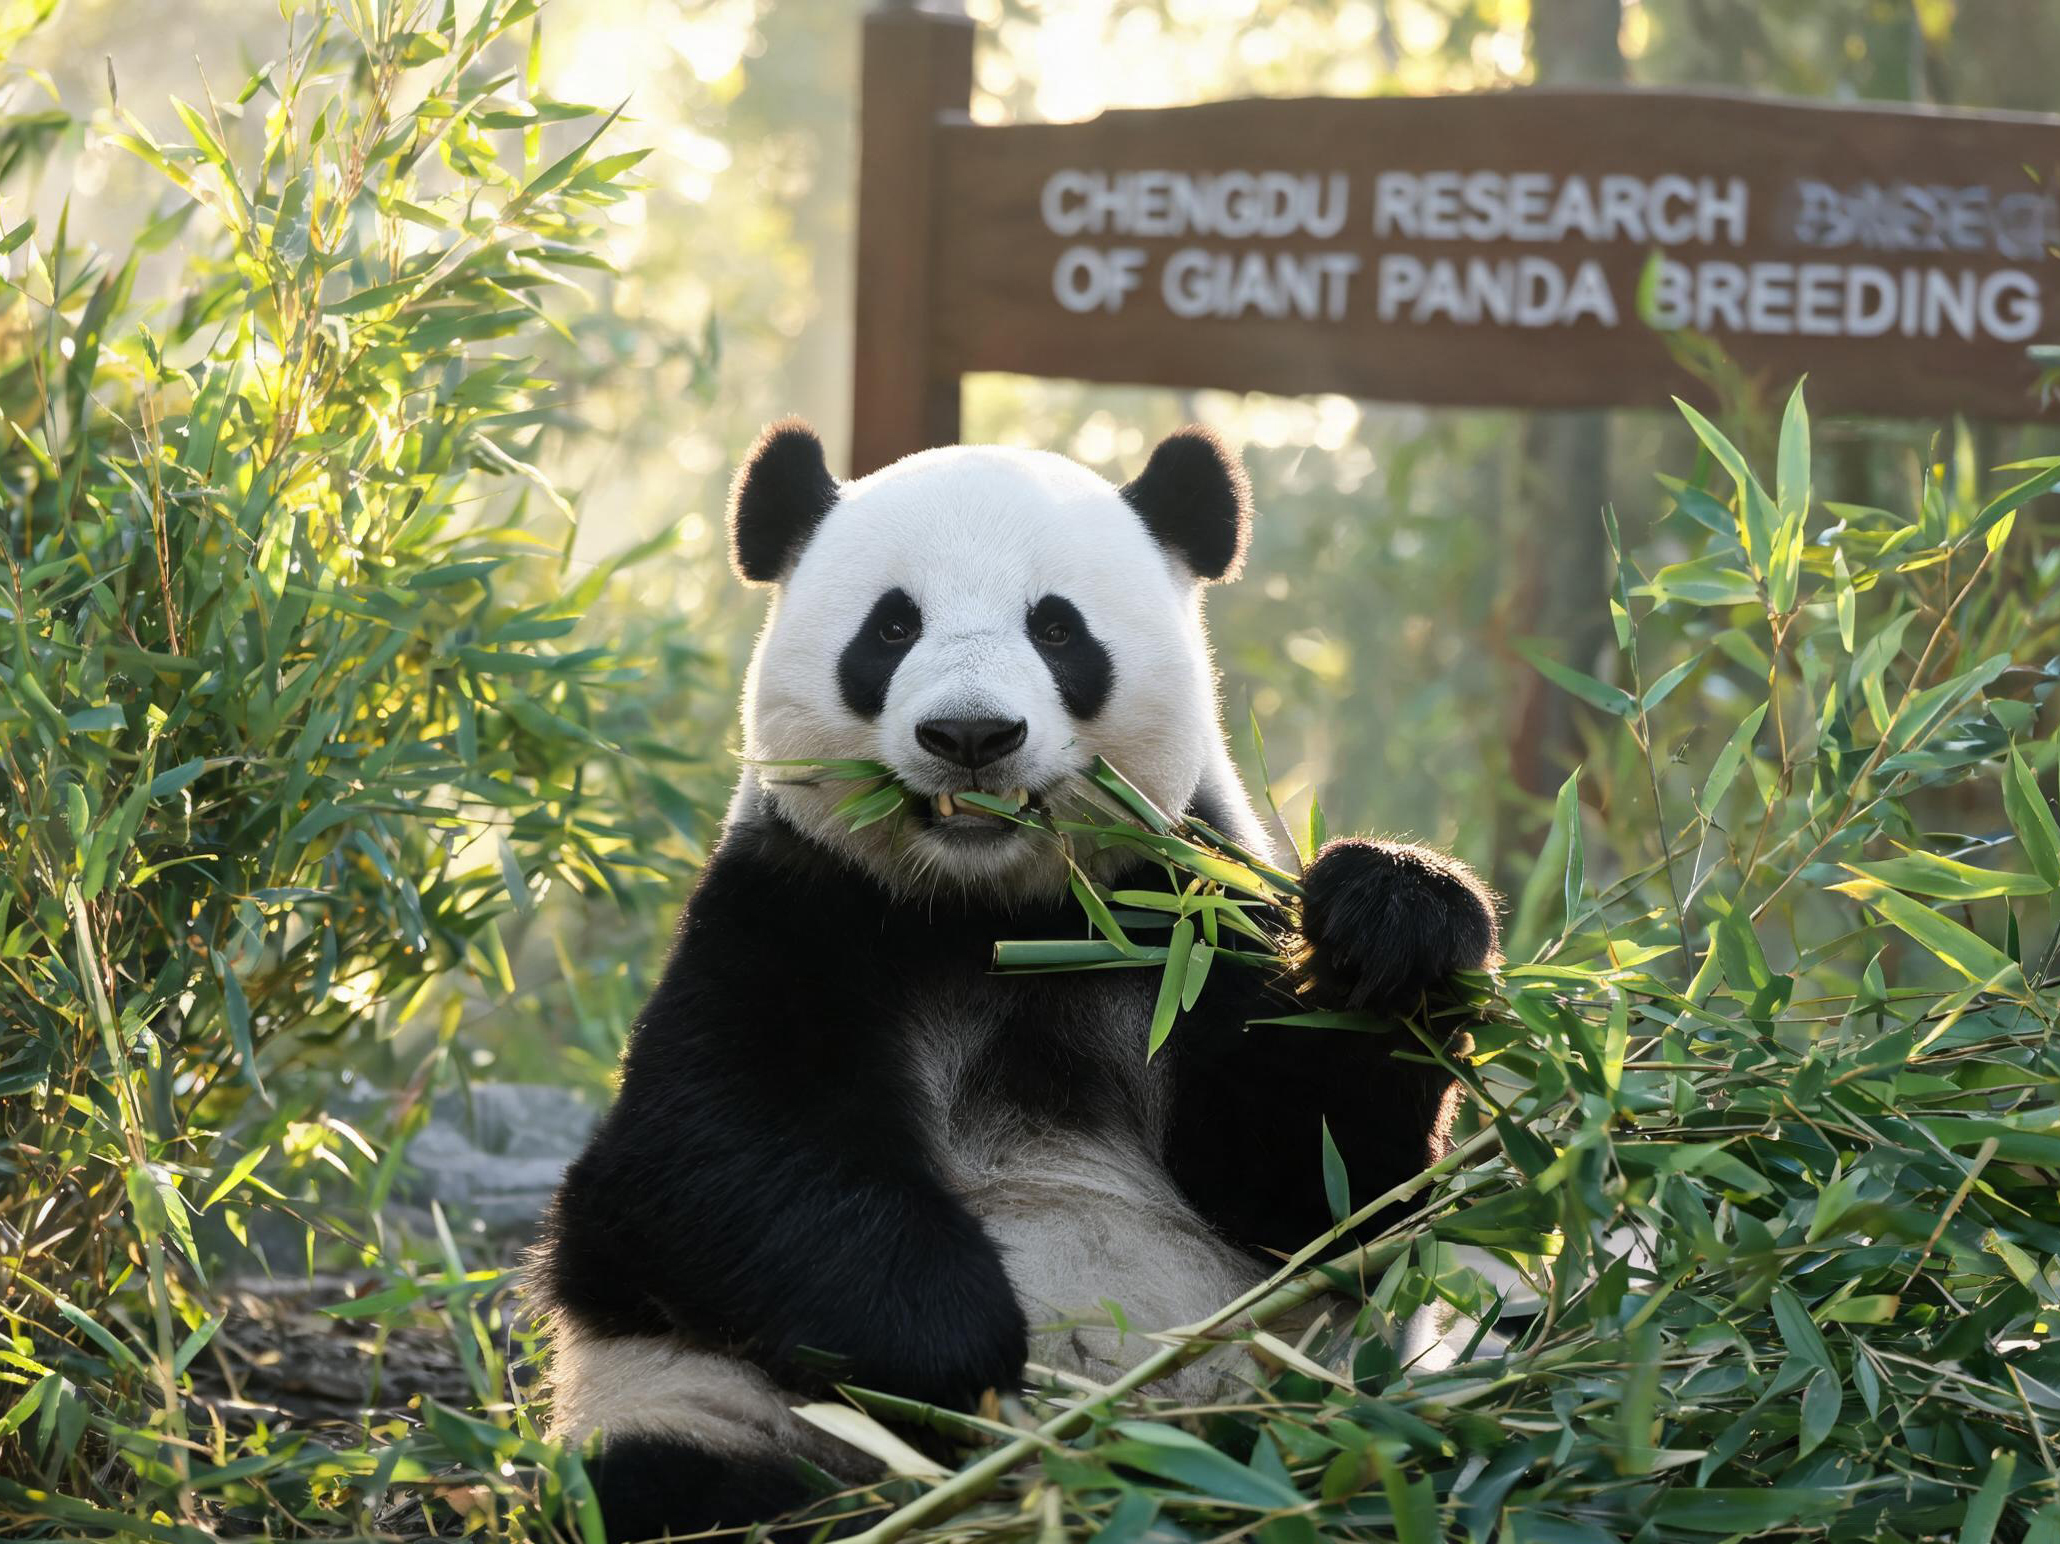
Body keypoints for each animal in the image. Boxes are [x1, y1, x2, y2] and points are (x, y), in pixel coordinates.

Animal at [530, 422, 1498, 1539]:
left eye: (1058, 629)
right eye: (891, 626)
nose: (970, 735)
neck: (995, 913)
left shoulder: (1184, 921)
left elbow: (1322, 1187)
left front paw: (1394, 920)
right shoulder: (791, 908)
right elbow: (700, 1159)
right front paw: (964, 1345)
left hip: (1334, 1423)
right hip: (705, 1406)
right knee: (675, 1486)